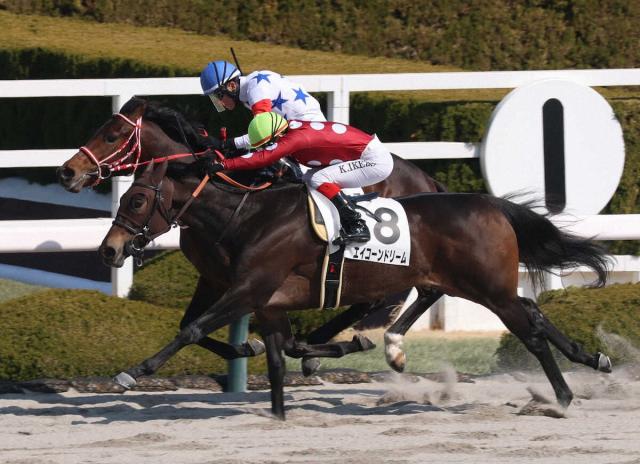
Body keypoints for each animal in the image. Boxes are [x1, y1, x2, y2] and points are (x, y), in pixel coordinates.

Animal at [57, 97, 448, 373]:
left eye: (111, 136)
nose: (67, 172)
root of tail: (428, 180)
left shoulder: (251, 278)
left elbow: (198, 326)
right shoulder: (215, 276)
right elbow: (191, 324)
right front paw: (251, 346)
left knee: (404, 294)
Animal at [99, 159, 612, 419]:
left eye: (138, 199)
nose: (110, 249)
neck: (248, 218)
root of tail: (493, 205)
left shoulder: (248, 288)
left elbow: (191, 330)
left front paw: (132, 372)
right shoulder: (265, 299)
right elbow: (278, 354)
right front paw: (278, 408)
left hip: (488, 289)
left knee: (530, 332)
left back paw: (561, 397)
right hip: (479, 286)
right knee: (534, 312)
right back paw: (593, 360)